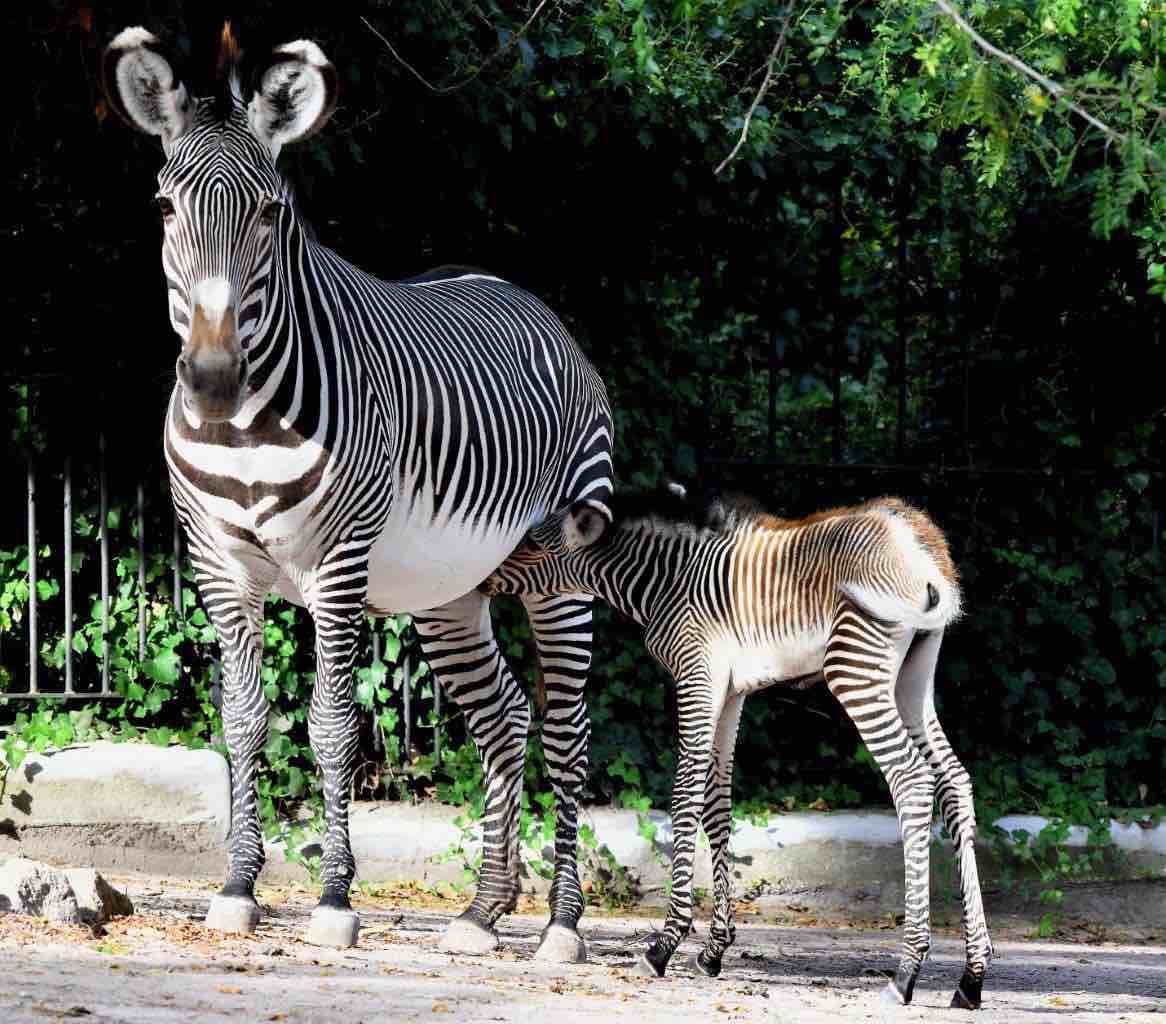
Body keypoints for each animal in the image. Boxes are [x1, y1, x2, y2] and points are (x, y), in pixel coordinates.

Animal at [102, 25, 612, 960]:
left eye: (271, 214)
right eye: (163, 209)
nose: (214, 379)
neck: (246, 427)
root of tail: (519, 293)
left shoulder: (338, 567)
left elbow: (333, 726)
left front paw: (335, 899)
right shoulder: (219, 568)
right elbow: (243, 721)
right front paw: (237, 887)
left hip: (561, 573)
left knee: (565, 730)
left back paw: (562, 923)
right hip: (451, 591)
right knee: (503, 717)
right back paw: (482, 913)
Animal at [482, 484, 992, 1009]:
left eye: (534, 545)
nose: (482, 582)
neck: (667, 581)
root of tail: (920, 540)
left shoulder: (697, 677)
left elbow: (684, 798)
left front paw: (664, 944)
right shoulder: (729, 693)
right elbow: (717, 807)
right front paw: (714, 950)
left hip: (856, 668)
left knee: (912, 782)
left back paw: (906, 971)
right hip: (913, 677)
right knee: (954, 783)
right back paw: (970, 978)